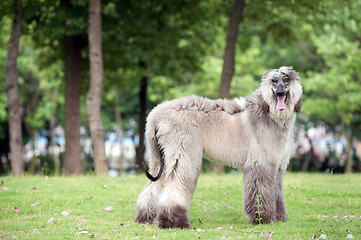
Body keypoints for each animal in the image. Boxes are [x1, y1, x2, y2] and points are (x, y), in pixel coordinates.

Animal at [134, 66, 300, 229]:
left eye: (286, 79)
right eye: (274, 80)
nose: (280, 93)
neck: (268, 112)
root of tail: (156, 116)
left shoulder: (278, 165)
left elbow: (276, 191)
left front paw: (279, 217)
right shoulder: (261, 163)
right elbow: (260, 191)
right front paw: (262, 218)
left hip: (158, 156)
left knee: (151, 188)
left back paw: (146, 217)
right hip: (182, 152)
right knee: (175, 185)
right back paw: (173, 221)